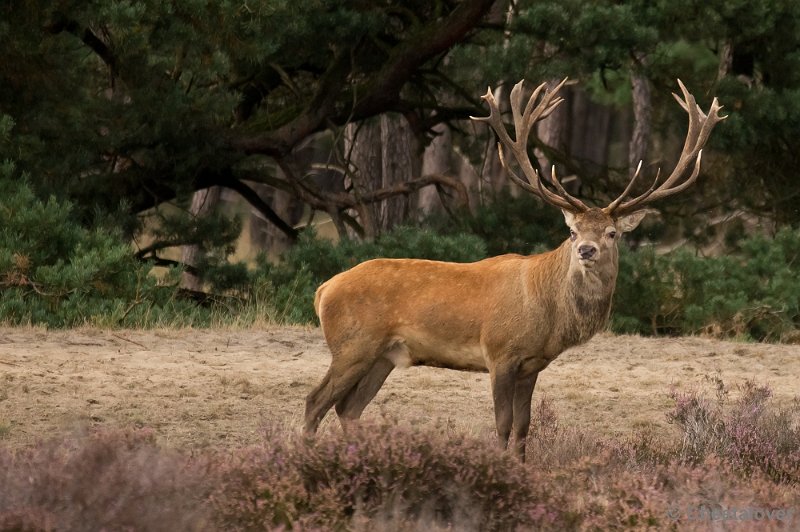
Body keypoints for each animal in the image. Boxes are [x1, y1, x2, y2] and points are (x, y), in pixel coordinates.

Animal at [302, 78, 724, 462]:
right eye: (572, 231)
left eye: (612, 233)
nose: (586, 250)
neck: (549, 316)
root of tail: (323, 290)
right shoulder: (500, 353)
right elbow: (502, 424)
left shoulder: (532, 365)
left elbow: (524, 426)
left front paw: (521, 470)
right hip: (353, 344)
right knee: (315, 401)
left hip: (383, 356)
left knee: (348, 408)